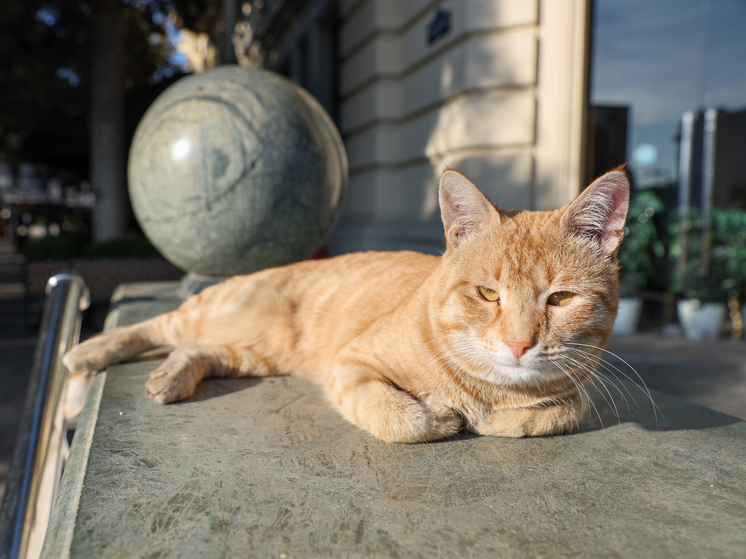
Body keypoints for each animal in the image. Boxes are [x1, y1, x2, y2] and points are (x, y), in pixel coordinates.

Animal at [64, 167, 624, 442]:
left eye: (561, 298)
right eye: (488, 294)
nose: (519, 343)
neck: (490, 388)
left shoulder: (577, 394)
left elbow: (559, 413)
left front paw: (502, 419)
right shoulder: (350, 365)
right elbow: (402, 419)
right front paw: (440, 417)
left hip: (255, 353)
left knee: (196, 350)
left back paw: (169, 378)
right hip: (214, 314)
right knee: (154, 326)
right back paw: (85, 358)